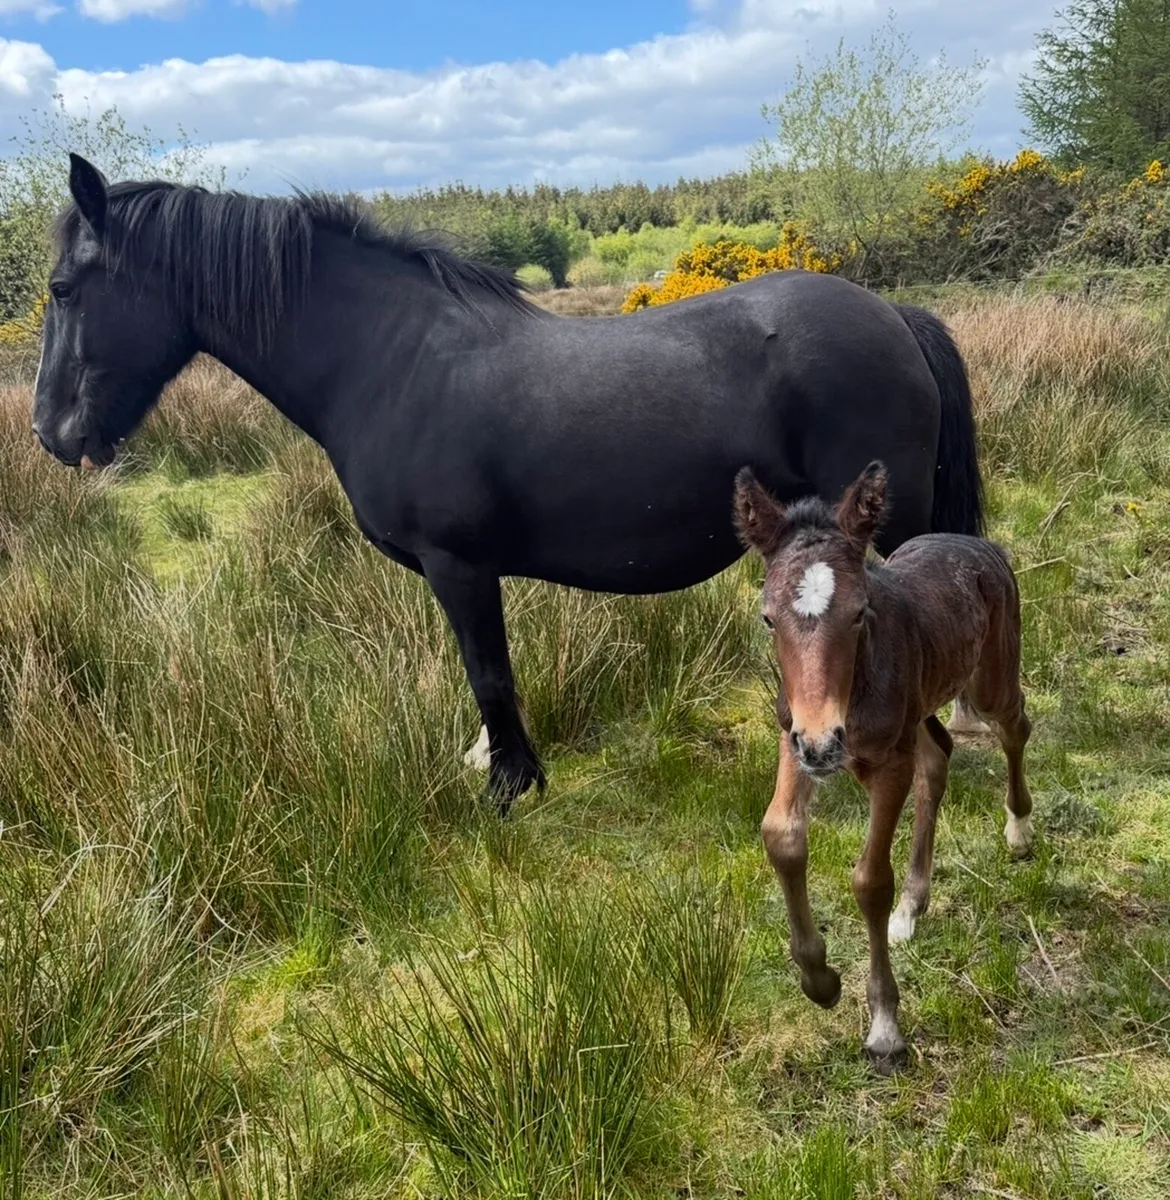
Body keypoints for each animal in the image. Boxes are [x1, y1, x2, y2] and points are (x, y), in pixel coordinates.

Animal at [33, 153, 983, 811]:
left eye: (64, 287)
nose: (50, 432)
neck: (384, 360)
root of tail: (893, 315)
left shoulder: (459, 566)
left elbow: (488, 672)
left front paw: (509, 785)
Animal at [735, 461, 1033, 1071]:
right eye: (769, 618)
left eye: (858, 613)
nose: (824, 743)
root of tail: (973, 540)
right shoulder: (792, 736)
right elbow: (781, 835)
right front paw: (820, 980)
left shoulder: (886, 764)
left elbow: (870, 880)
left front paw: (884, 1027)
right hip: (918, 709)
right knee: (938, 755)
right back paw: (911, 908)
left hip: (988, 678)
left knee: (1014, 726)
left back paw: (1018, 829)